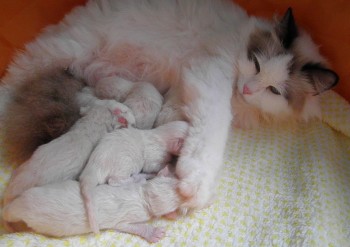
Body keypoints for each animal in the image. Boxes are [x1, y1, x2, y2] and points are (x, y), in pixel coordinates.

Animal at [0, 0, 340, 210]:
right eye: (256, 63)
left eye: (274, 90)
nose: (247, 88)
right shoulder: (209, 75)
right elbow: (213, 131)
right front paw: (197, 182)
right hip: (54, 55)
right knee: (9, 89)